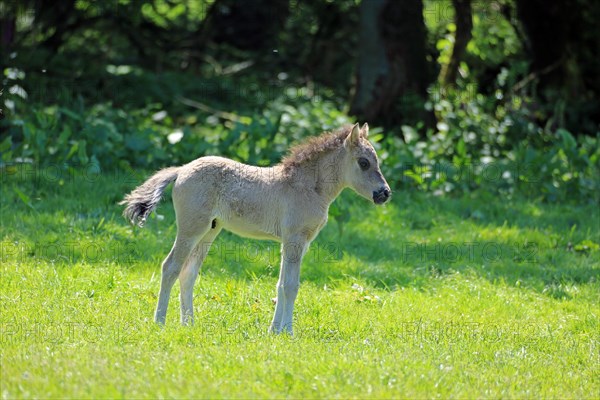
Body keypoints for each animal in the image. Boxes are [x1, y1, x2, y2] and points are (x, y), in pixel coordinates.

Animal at [122, 122, 394, 334]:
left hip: (210, 231)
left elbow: (281, 285)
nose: (384, 193)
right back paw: (160, 322)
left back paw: (188, 323)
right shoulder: (294, 239)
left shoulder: (298, 243)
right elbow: (291, 286)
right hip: (191, 228)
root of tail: (181, 170)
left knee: (188, 273)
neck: (307, 187)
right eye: (363, 162)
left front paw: (275, 330)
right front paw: (289, 332)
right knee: (170, 267)